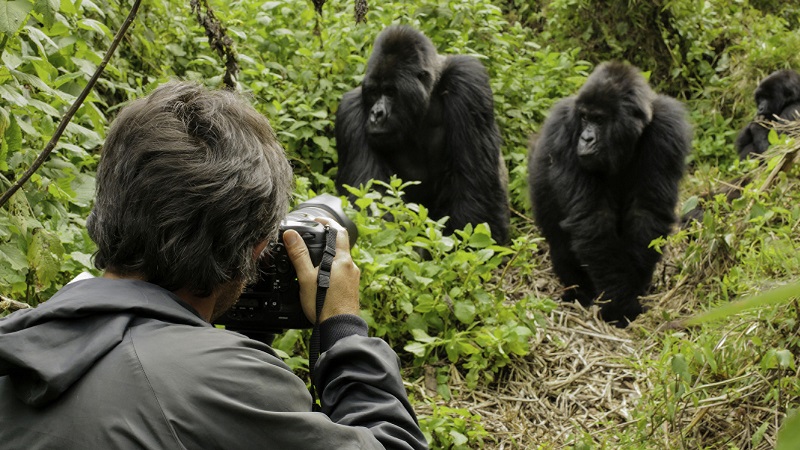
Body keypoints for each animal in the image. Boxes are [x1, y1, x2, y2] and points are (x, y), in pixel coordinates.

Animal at [334, 25, 510, 243]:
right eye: (374, 92)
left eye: (390, 92)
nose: (376, 114)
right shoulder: (350, 111)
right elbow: (370, 200)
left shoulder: (468, 81)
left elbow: (475, 186)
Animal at [528, 60, 692, 326]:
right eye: (584, 117)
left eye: (599, 119)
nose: (586, 138)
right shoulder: (564, 128)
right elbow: (593, 219)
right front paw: (620, 305)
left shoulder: (667, 129)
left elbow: (646, 212)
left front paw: (634, 289)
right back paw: (577, 292)